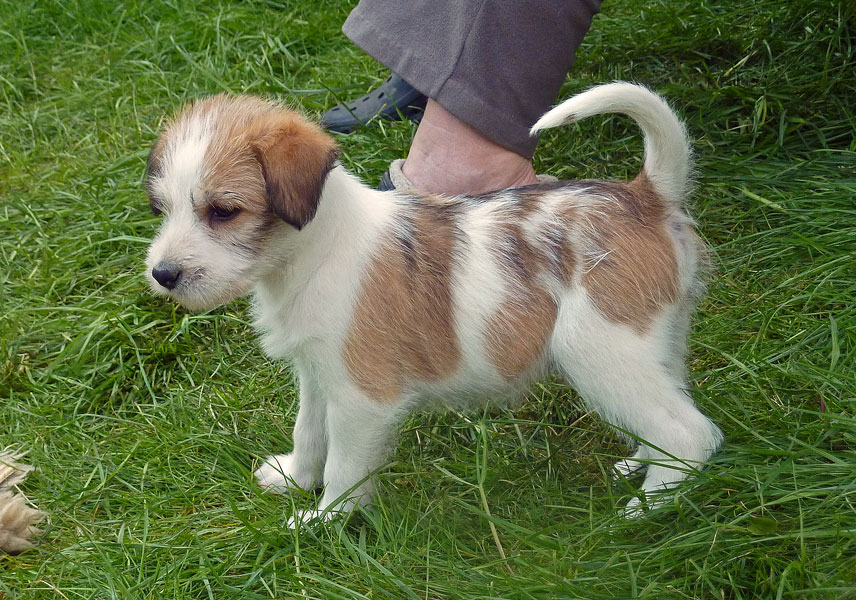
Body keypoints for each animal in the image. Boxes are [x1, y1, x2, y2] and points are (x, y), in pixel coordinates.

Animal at [145, 82, 722, 525]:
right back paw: (643, 464)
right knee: (671, 411)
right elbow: (308, 430)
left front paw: (322, 522)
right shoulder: (317, 373)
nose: (162, 275)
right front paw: (293, 476)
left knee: (691, 433)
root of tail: (646, 196)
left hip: (603, 354)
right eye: (161, 208)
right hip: (655, 347)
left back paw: (647, 507)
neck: (312, 250)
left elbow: (345, 467)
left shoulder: (363, 397)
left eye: (223, 211)